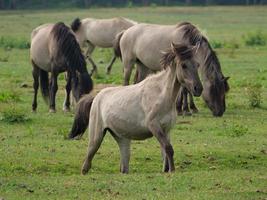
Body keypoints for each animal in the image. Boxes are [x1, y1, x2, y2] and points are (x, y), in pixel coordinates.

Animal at [69, 42, 203, 173]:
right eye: (184, 65)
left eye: (197, 64)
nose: (198, 89)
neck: (161, 94)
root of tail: (96, 97)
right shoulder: (154, 126)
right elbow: (168, 148)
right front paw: (172, 171)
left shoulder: (166, 129)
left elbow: (165, 151)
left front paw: (167, 169)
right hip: (96, 137)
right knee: (87, 162)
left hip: (122, 139)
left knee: (124, 167)